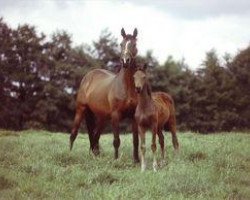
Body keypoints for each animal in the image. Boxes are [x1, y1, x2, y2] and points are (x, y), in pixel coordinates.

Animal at [70, 28, 141, 162]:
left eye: (134, 44)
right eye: (121, 44)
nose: (125, 61)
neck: (127, 87)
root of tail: (88, 76)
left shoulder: (134, 116)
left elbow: (136, 141)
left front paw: (136, 161)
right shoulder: (115, 115)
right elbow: (116, 140)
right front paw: (116, 160)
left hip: (102, 117)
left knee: (95, 136)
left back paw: (95, 155)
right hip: (81, 109)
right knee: (74, 133)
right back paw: (69, 154)